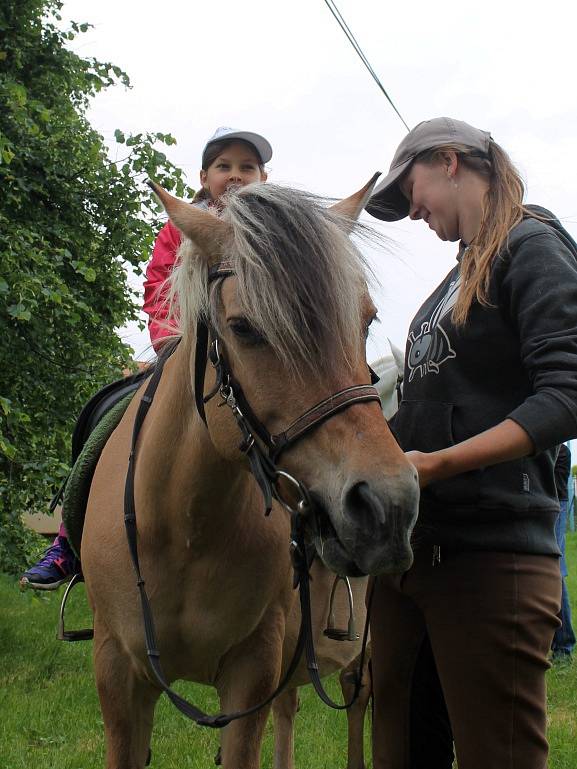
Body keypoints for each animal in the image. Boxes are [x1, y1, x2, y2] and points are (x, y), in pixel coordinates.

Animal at [80, 177, 418, 764]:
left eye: (367, 319)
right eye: (243, 328)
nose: (388, 507)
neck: (184, 527)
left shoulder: (251, 672)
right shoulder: (118, 673)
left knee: (357, 709)